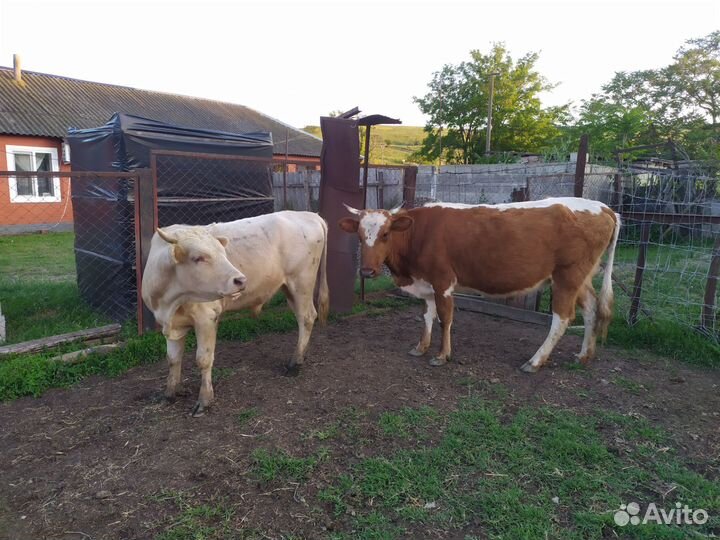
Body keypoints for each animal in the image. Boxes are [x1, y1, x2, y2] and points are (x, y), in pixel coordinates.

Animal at [142, 211, 329, 415]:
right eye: (198, 258)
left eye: (224, 253)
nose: (241, 280)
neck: (170, 300)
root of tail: (308, 214)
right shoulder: (171, 324)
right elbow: (173, 359)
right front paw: (170, 393)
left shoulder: (206, 318)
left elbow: (203, 359)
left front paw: (204, 399)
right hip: (290, 289)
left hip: (301, 284)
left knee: (307, 318)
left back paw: (295, 363)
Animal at [339, 197, 620, 373]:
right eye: (360, 236)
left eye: (386, 234)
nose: (366, 270)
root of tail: (603, 207)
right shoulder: (426, 283)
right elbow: (427, 316)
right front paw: (421, 347)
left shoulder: (443, 281)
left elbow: (445, 318)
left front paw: (442, 356)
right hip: (581, 278)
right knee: (591, 309)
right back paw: (584, 355)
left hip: (567, 277)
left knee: (562, 319)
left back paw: (535, 361)